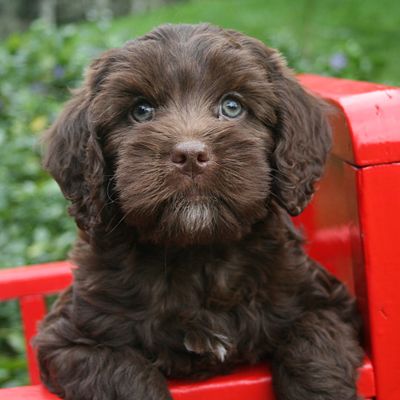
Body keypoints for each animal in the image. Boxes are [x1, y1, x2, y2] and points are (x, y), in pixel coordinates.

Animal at [36, 23, 364, 398]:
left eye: (232, 106)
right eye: (141, 111)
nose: (190, 156)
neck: (198, 253)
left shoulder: (329, 302)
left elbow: (314, 343)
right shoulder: (69, 338)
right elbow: (123, 374)